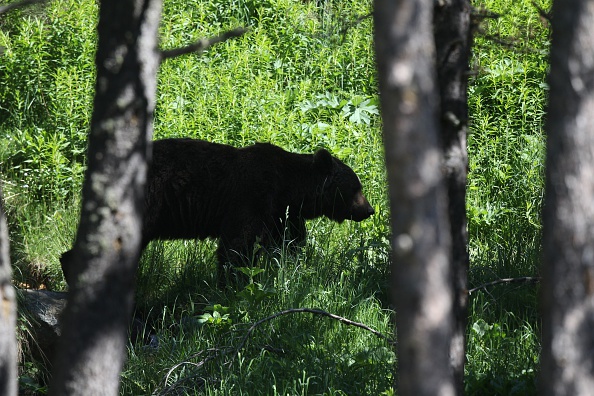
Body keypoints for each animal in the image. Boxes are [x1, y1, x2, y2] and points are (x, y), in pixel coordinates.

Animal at [61, 138, 374, 286]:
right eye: (356, 186)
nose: (369, 209)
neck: (290, 189)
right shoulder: (252, 197)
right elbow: (237, 245)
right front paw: (232, 282)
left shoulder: (279, 214)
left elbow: (287, 244)